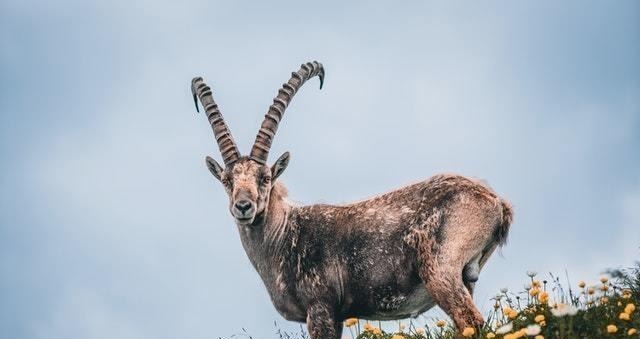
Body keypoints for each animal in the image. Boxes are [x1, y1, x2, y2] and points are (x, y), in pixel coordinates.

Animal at [191, 60, 516, 338]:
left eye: (266, 178)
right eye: (226, 181)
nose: (243, 206)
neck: (284, 236)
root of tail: (496, 203)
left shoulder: (320, 308)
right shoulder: (336, 317)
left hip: (441, 270)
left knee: (470, 320)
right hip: (466, 278)